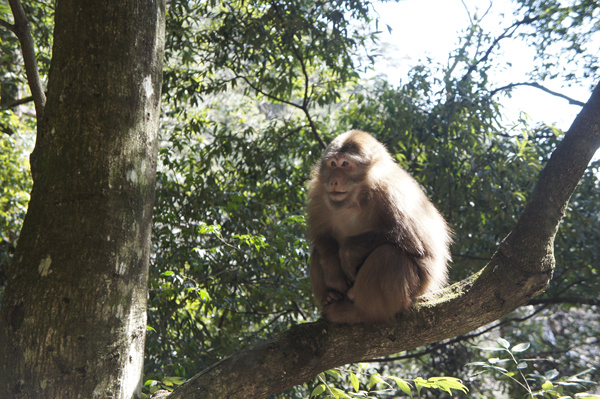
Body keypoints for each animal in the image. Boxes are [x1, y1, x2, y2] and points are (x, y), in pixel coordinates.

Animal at [310, 131, 450, 324]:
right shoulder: (317, 195)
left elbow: (417, 246)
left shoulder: (392, 193)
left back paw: (359, 312)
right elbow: (322, 237)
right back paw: (331, 297)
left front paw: (348, 253)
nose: (334, 181)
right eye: (333, 164)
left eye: (345, 164)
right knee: (318, 249)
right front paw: (332, 266)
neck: (356, 198)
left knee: (389, 255)